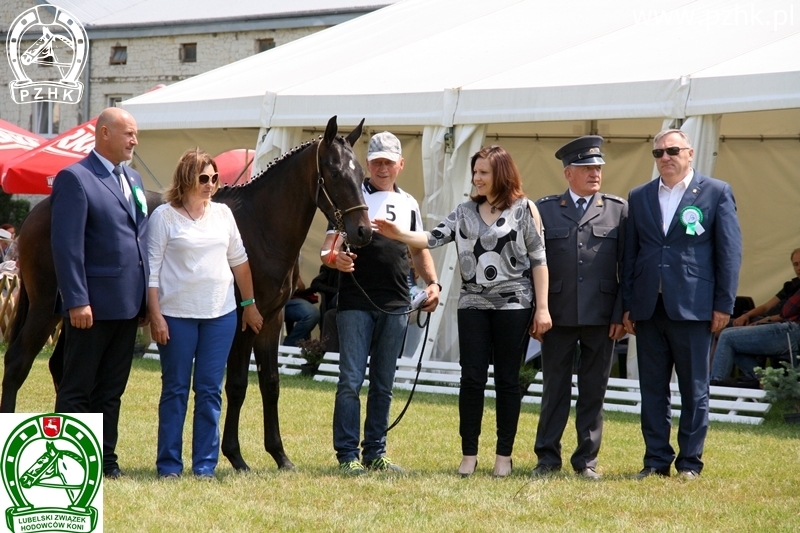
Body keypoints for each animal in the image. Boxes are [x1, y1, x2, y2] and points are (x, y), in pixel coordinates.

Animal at [1, 115, 372, 470]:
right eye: (335, 172)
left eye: (362, 174)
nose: (363, 231)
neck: (260, 227)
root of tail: (39, 212)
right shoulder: (242, 323)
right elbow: (237, 385)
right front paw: (236, 457)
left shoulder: (270, 319)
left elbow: (270, 383)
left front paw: (280, 456)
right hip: (45, 311)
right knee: (18, 361)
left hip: (75, 318)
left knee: (59, 366)